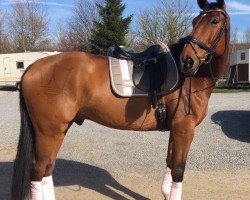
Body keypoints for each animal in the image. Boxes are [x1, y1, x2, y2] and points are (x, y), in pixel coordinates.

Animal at [11, 0, 230, 200]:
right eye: (195, 22)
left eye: (214, 21)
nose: (188, 61)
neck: (191, 79)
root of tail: (32, 68)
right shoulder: (185, 130)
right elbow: (178, 171)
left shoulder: (176, 130)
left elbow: (169, 165)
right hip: (49, 133)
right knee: (39, 171)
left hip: (57, 131)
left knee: (47, 169)